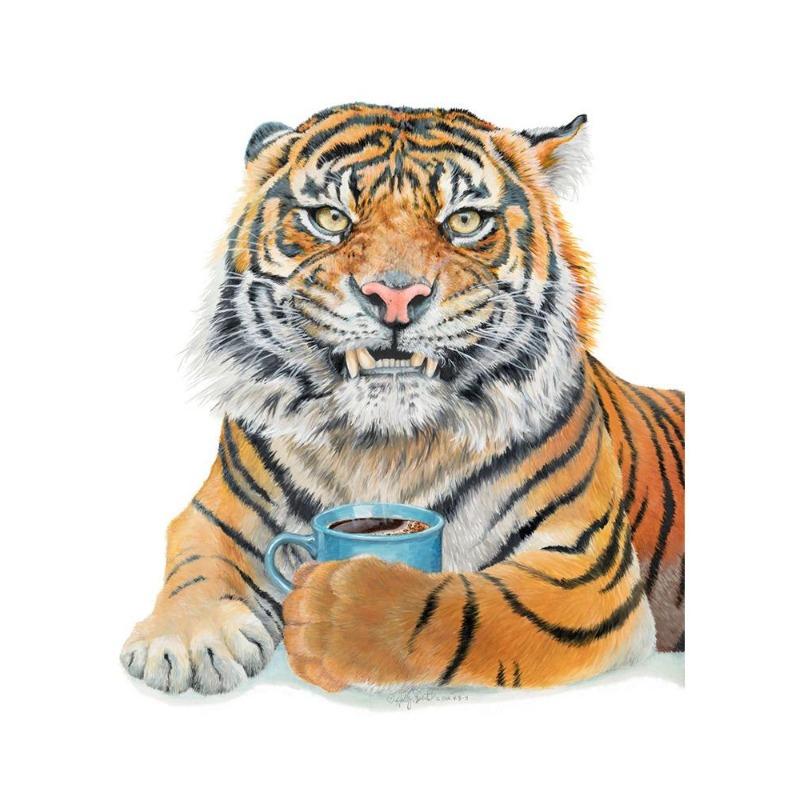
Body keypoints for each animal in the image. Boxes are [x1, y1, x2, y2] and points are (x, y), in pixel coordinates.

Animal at [121, 103, 684, 695]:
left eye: (465, 221)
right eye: (330, 218)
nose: (395, 296)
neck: (384, 447)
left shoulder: (586, 568)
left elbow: (462, 606)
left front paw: (336, 610)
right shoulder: (217, 512)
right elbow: (198, 562)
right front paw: (186, 641)